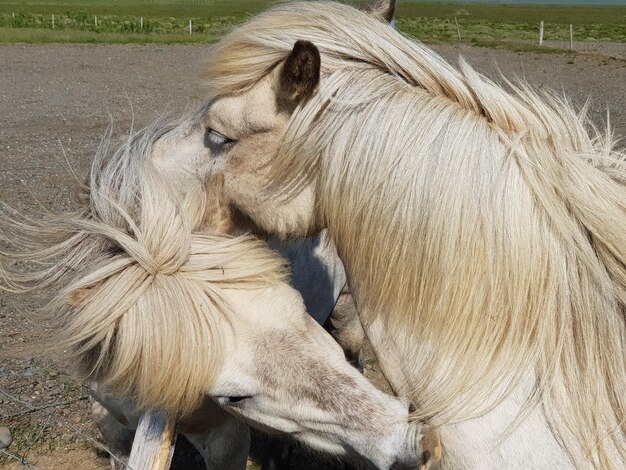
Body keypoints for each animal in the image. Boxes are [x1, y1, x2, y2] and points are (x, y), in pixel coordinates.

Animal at [0, 112, 422, 468]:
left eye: (299, 308)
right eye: (235, 396)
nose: (406, 441)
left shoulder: (224, 439)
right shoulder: (113, 429)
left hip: (350, 319)